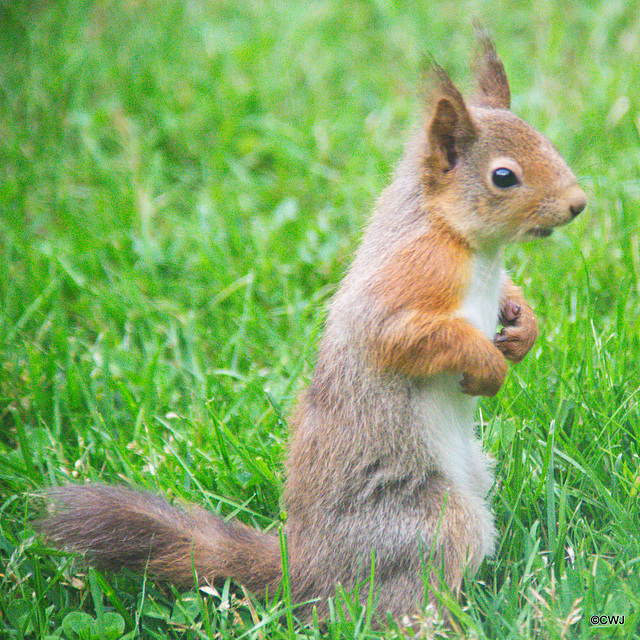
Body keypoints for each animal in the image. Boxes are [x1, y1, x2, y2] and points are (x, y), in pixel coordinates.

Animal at [35, 32, 584, 628]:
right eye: (503, 176)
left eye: (545, 139)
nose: (578, 203)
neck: (472, 247)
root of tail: (309, 568)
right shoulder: (410, 280)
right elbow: (403, 338)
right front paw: (486, 367)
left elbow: (510, 301)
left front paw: (523, 328)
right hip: (426, 520)